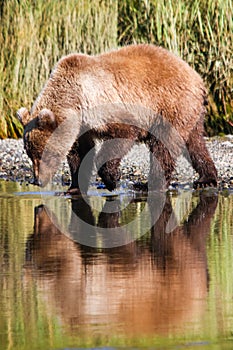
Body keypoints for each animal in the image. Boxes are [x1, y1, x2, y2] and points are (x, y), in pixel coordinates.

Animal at [17, 44, 218, 193]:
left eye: (46, 155)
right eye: (30, 154)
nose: (37, 181)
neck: (76, 99)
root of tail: (196, 76)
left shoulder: (108, 106)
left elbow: (120, 137)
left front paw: (111, 179)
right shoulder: (81, 126)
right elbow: (79, 153)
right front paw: (75, 186)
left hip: (170, 105)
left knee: (164, 146)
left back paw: (148, 185)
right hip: (190, 112)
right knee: (195, 142)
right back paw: (206, 178)